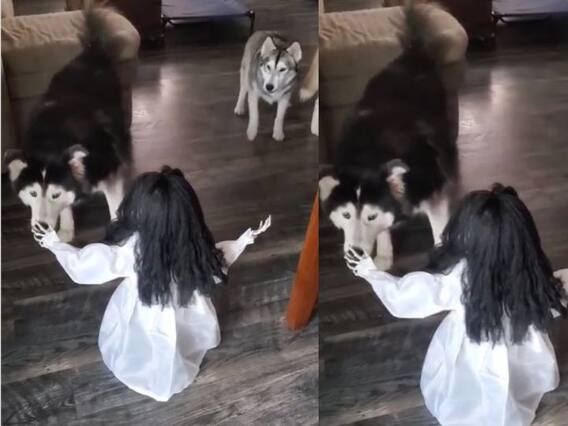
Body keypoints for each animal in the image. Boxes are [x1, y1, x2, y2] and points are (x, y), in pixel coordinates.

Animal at [5, 8, 130, 242]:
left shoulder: (109, 170)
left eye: (55, 194)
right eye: (33, 193)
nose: (41, 227)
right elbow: (67, 206)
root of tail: (91, 51)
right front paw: (66, 227)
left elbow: (115, 204)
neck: (53, 140)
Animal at [319, 2, 458, 271]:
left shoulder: (432, 189)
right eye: (346, 214)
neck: (369, 154)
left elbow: (438, 230)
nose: (355, 253)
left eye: (370, 215)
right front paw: (384, 254)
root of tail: (411, 54)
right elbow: (385, 228)